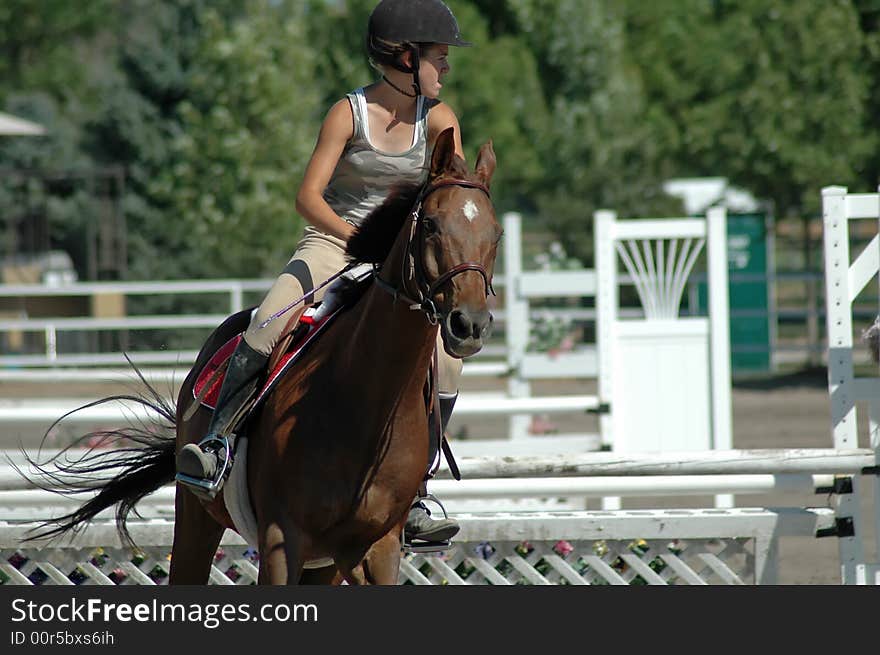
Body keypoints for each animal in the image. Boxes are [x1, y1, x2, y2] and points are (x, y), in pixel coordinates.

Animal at [22, 127, 502, 584]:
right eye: (432, 225)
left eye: (495, 234)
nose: (469, 325)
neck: (367, 397)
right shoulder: (281, 539)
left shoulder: (376, 550)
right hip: (197, 515)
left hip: (324, 565)